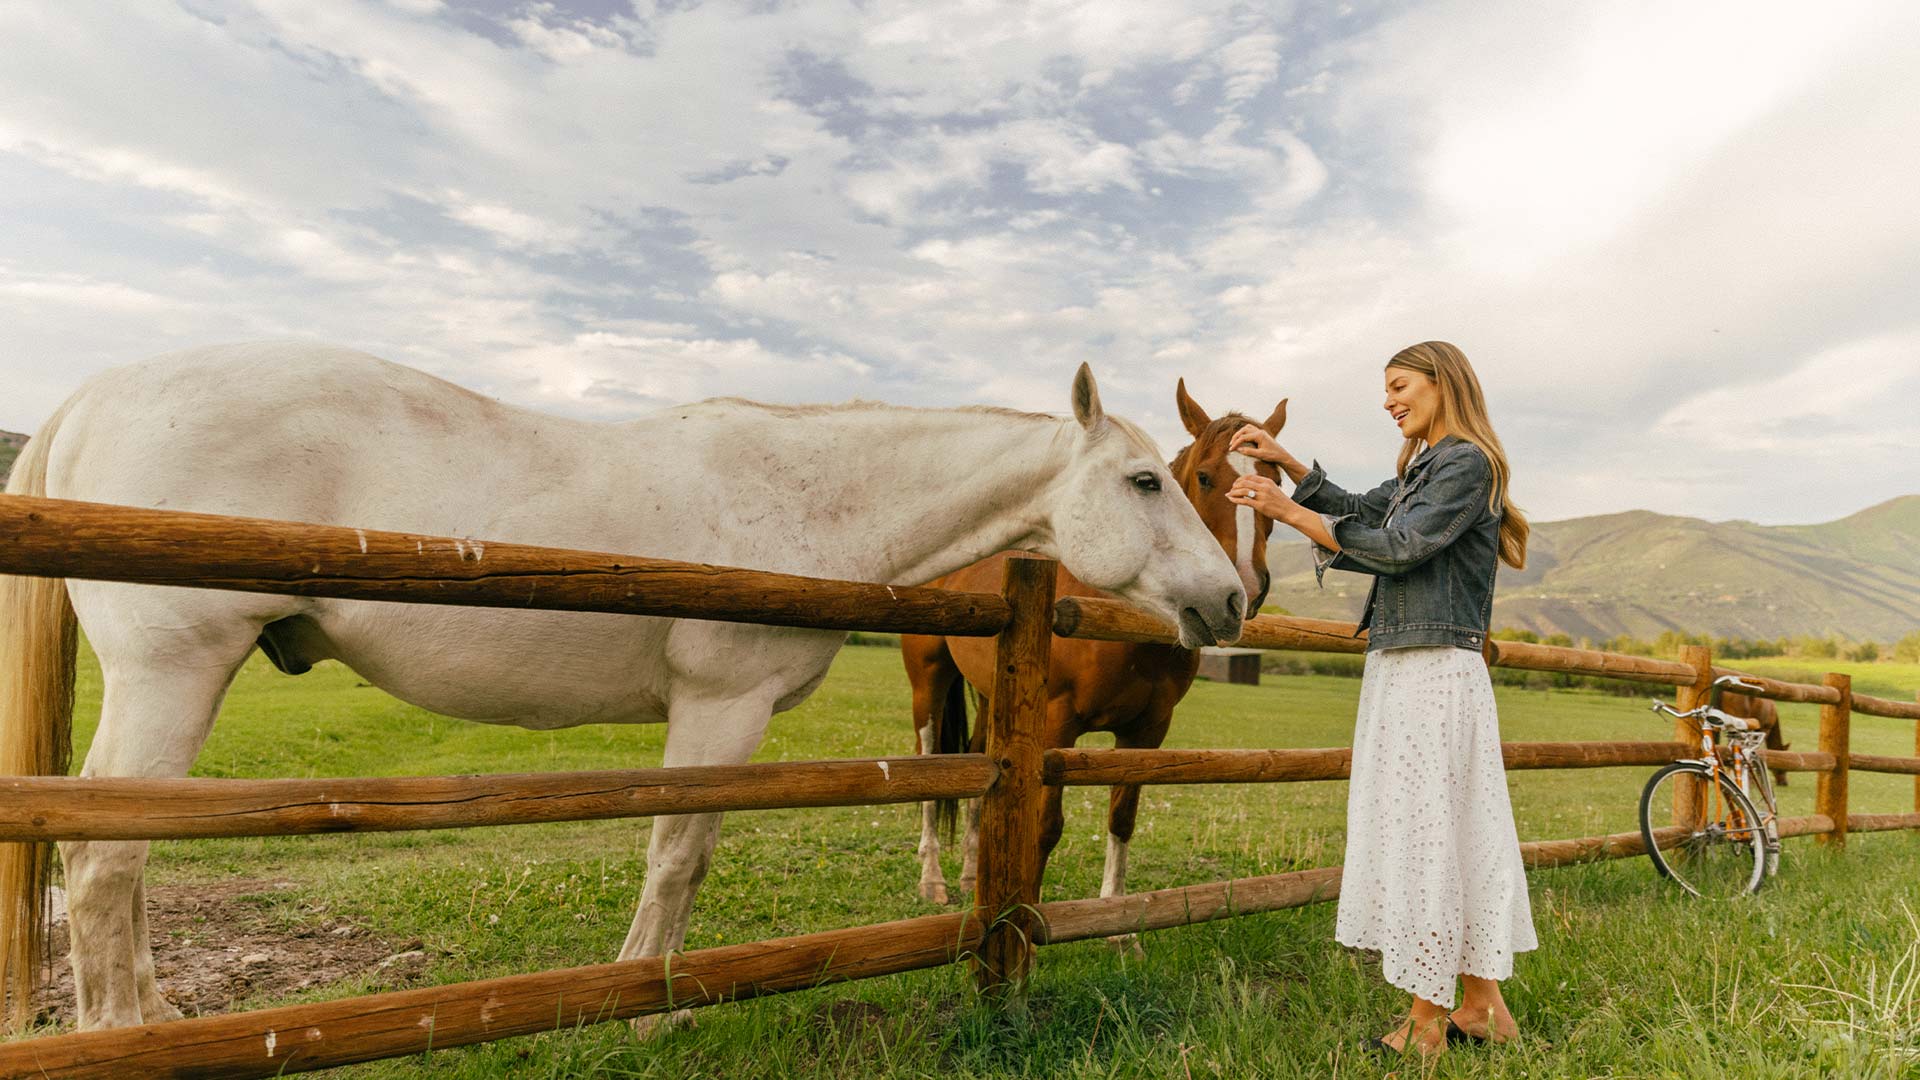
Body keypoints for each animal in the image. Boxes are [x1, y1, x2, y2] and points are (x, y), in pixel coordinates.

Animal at [3, 340, 1244, 1030]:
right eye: (1146, 481)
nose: (1230, 601)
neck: (798, 501)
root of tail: (92, 396)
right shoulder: (717, 711)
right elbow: (678, 853)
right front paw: (645, 1010)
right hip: (171, 674)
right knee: (103, 860)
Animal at [898, 382, 1290, 903]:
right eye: (1206, 477)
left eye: (1276, 481)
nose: (1245, 586)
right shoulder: (1057, 727)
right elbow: (1045, 827)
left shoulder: (1147, 732)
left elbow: (1122, 819)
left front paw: (1115, 914)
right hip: (930, 679)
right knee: (928, 761)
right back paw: (934, 879)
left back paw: (970, 873)